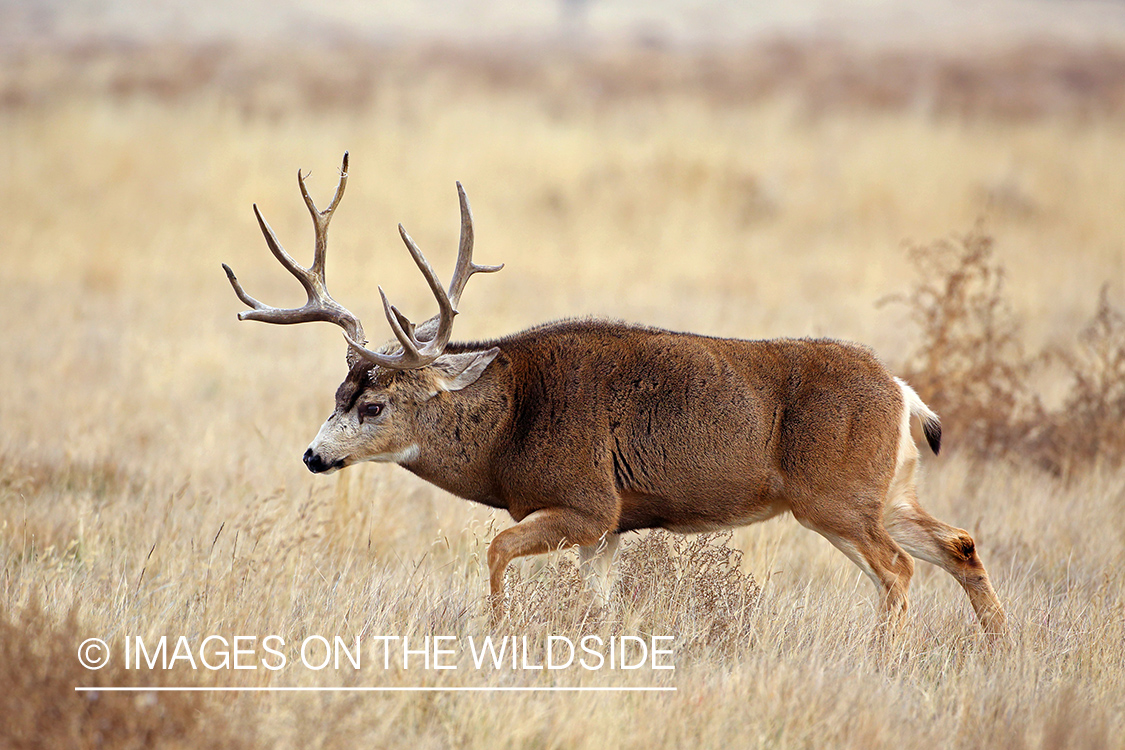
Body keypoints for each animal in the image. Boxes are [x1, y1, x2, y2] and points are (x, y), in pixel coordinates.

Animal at [219, 154, 1003, 634]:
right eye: (337, 390)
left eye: (373, 405)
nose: (313, 456)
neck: (512, 422)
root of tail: (903, 393)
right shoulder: (610, 530)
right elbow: (602, 607)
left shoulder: (587, 503)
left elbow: (495, 550)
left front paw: (497, 633)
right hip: (885, 490)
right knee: (959, 543)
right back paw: (995, 649)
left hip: (833, 495)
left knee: (899, 572)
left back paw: (886, 660)